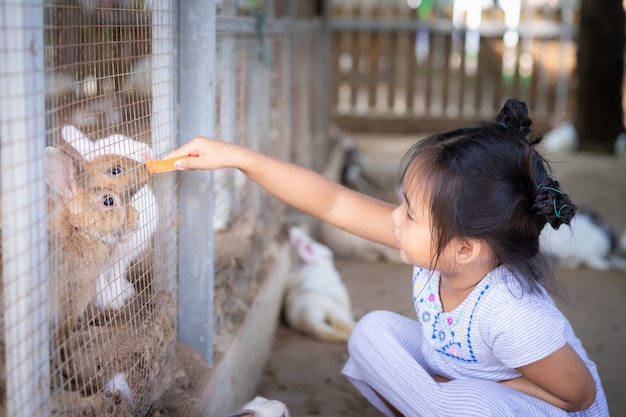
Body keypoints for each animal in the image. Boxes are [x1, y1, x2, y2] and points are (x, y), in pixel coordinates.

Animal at [61, 123, 158, 308]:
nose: (147, 153)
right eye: (115, 169)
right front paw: (107, 301)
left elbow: (116, 276)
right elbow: (99, 280)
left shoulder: (123, 256)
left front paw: (120, 296)